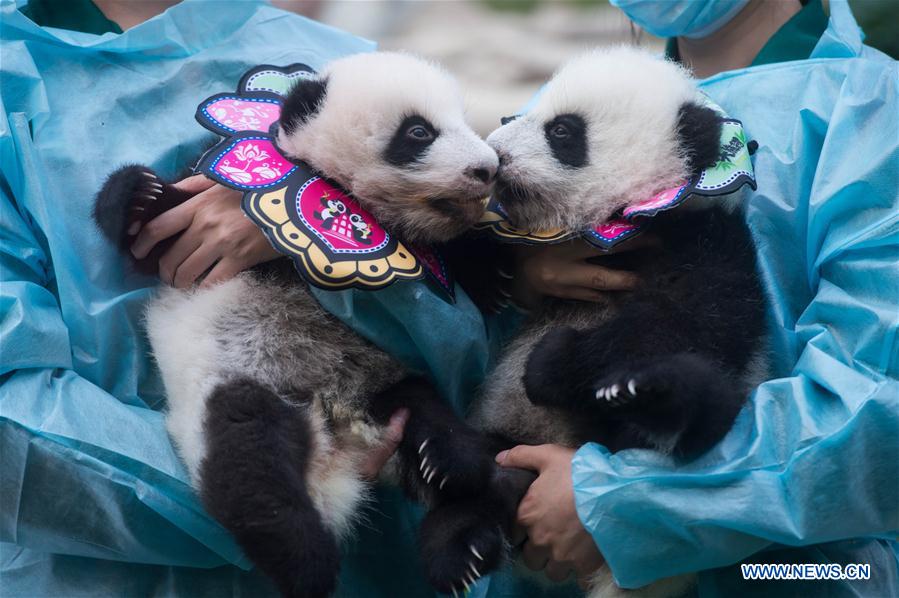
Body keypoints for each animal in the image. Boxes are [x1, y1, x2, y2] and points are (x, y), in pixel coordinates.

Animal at [93, 52, 500, 598]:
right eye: (419, 132)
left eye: (464, 121)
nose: (488, 168)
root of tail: (342, 437)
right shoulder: (215, 207)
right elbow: (156, 234)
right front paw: (138, 194)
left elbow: (449, 262)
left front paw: (494, 271)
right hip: (241, 382)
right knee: (250, 467)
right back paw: (307, 560)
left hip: (389, 384)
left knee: (446, 440)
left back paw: (457, 520)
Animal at [415, 47, 769, 598]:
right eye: (515, 117)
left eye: (562, 131)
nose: (496, 157)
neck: (614, 223)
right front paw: (485, 269)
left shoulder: (705, 240)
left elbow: (691, 316)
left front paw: (552, 364)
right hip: (506, 437)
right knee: (479, 488)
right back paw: (454, 514)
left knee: (705, 414)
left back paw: (649, 394)